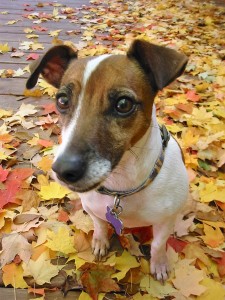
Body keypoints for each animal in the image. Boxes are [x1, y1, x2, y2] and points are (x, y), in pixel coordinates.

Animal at [25, 39, 188, 282]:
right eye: (62, 100)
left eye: (123, 104)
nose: (64, 170)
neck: (122, 187)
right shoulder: (94, 210)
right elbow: (100, 226)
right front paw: (100, 242)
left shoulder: (165, 220)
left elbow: (158, 244)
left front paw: (159, 264)